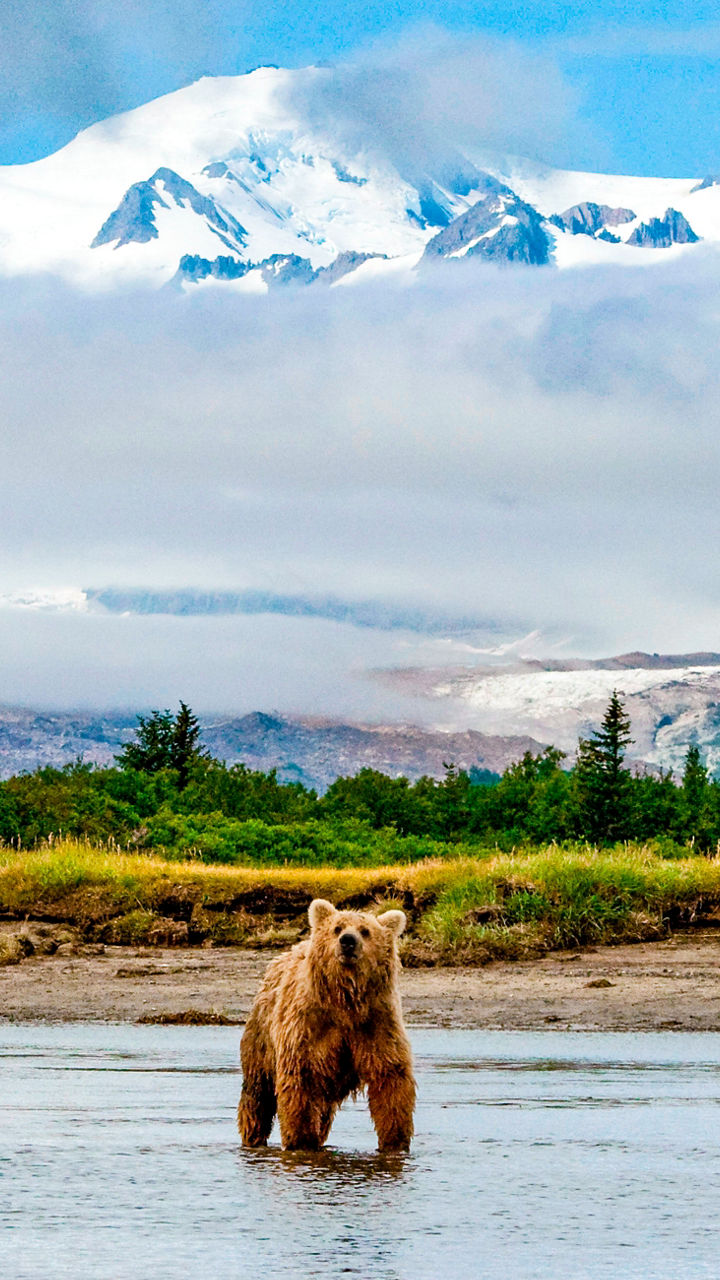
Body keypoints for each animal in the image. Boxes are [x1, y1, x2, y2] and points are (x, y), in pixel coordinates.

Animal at [237, 898, 416, 1152]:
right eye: (337, 928)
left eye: (365, 931)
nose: (348, 941)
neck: (345, 1001)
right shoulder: (307, 1028)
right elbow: (300, 1082)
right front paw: (301, 1140)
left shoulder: (377, 1024)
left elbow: (390, 1079)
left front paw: (395, 1141)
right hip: (262, 1036)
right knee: (257, 1092)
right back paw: (253, 1135)